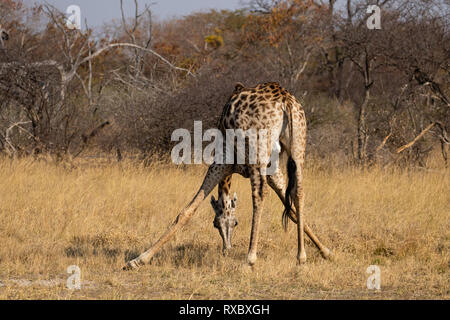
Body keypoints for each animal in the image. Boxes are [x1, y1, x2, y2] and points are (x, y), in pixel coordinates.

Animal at [125, 81, 332, 268]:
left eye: (235, 223)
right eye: (218, 225)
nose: (227, 249)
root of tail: (284, 98)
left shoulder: (222, 162)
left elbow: (188, 210)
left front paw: (138, 259)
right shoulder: (272, 169)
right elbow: (293, 211)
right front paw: (325, 251)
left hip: (256, 151)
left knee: (259, 194)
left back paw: (250, 257)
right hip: (298, 146)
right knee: (299, 192)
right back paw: (301, 256)